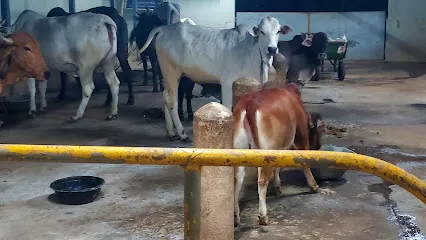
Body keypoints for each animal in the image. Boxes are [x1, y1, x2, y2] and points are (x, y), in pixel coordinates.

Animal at [139, 16, 292, 142]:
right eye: (262, 31)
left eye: (278, 31)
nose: (272, 49)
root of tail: (165, 28)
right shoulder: (227, 82)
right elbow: (228, 107)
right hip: (171, 71)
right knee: (172, 101)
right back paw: (182, 134)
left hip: (173, 75)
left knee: (166, 95)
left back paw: (171, 132)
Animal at [231, 82, 328, 225]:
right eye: (320, 131)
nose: (318, 146)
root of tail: (250, 103)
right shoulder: (300, 135)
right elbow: (304, 160)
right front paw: (313, 185)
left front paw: (277, 186)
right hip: (266, 151)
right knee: (262, 180)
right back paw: (263, 216)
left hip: (238, 150)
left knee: (237, 179)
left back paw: (235, 216)